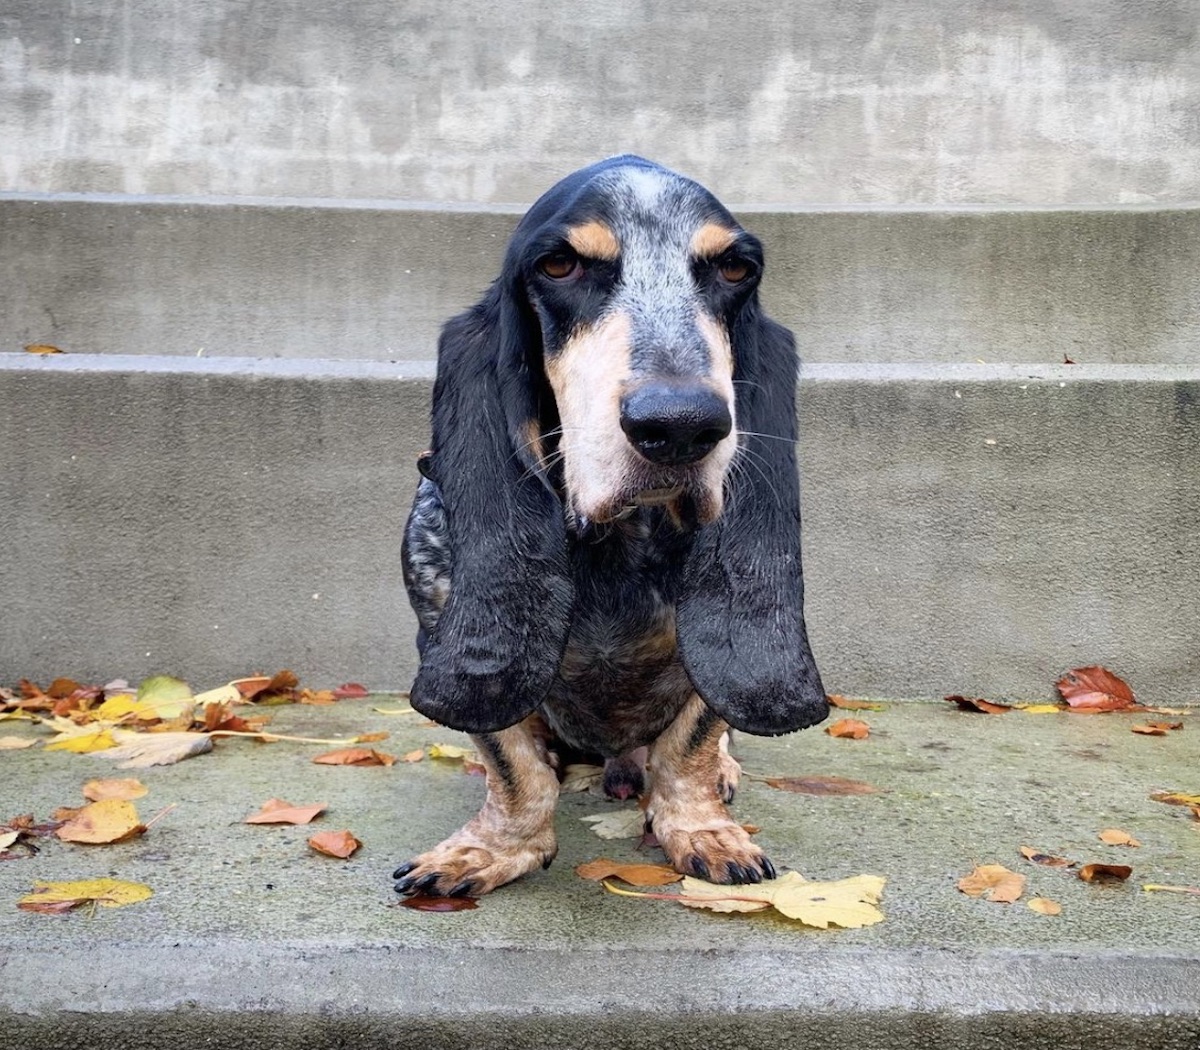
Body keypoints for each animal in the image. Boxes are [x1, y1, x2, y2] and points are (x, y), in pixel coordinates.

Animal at [393, 159, 825, 897]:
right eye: (559, 264)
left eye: (735, 268)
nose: (681, 426)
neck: (616, 539)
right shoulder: (440, 633)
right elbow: (513, 763)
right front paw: (490, 849)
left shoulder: (700, 665)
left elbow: (690, 745)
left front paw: (701, 830)